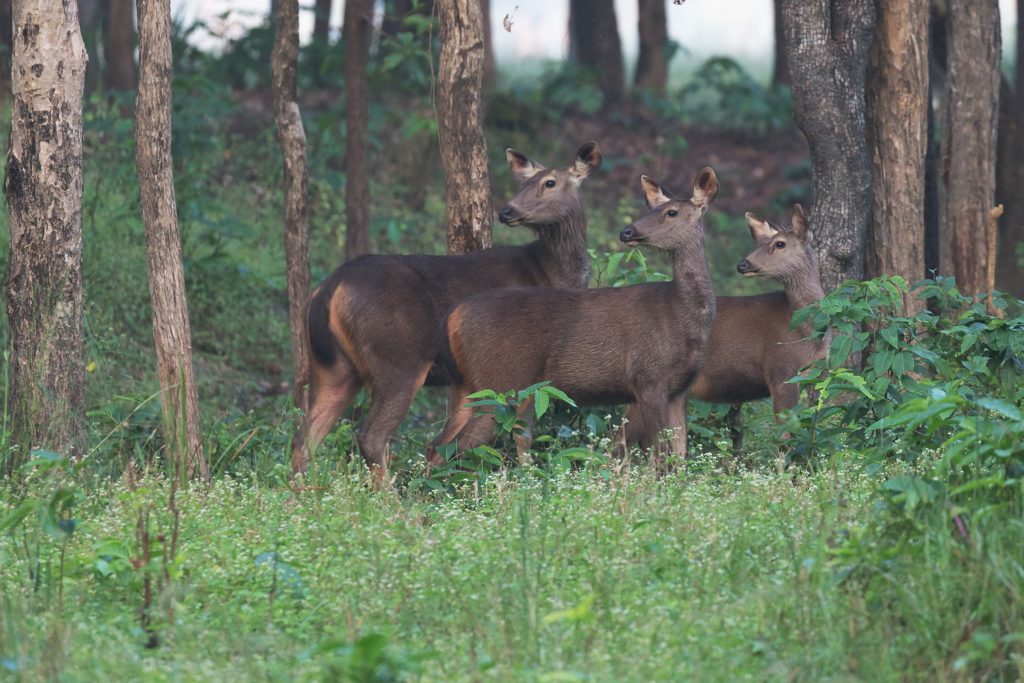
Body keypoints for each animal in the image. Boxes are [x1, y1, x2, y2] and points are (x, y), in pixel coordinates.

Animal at [291, 142, 603, 481]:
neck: (550, 274)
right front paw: (527, 479)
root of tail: (329, 289)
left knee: (303, 441)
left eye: (550, 182)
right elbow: (521, 433)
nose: (507, 211)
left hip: (333, 367)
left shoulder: (467, 380)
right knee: (370, 436)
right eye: (525, 182)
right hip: (399, 358)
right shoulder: (524, 364)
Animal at [427, 168, 719, 470]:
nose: (627, 231)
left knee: (437, 445)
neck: (682, 317)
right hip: (498, 383)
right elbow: (660, 456)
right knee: (454, 446)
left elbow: (680, 456)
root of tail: (452, 317)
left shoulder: (679, 389)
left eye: (671, 212)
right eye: (653, 208)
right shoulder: (649, 378)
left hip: (472, 386)